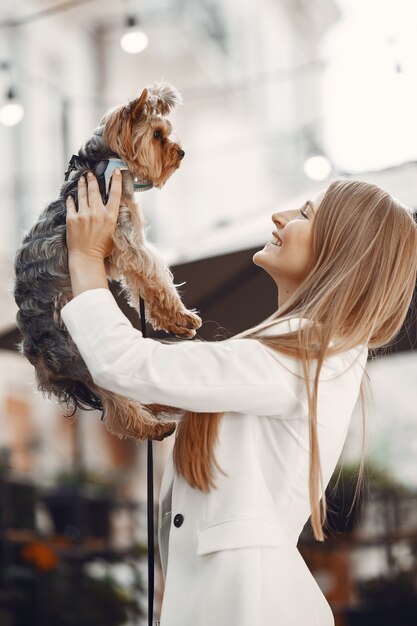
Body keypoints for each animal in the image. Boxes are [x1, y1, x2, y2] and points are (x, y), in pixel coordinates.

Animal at [13, 83, 202, 442]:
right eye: (157, 135)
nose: (182, 153)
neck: (102, 163)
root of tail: (33, 352)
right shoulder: (129, 241)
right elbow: (157, 277)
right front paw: (181, 317)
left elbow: (146, 284)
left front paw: (172, 321)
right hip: (80, 350)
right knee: (117, 407)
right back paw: (154, 426)